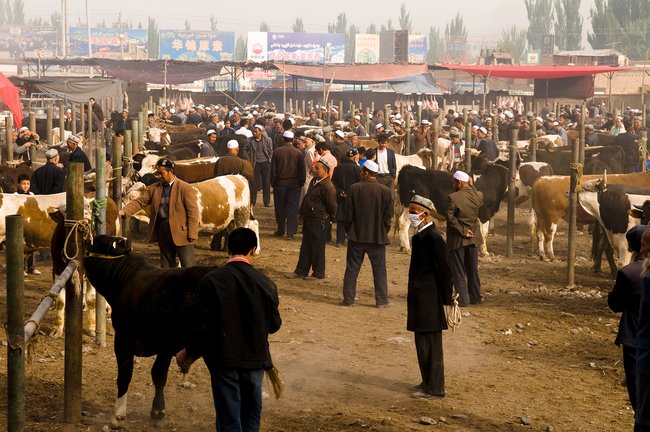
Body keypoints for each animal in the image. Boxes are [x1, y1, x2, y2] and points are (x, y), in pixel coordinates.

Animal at [81, 236, 215, 428]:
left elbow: (125, 374)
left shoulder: (124, 339)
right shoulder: (166, 345)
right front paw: (158, 411)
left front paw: (118, 415)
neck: (126, 278)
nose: (84, 247)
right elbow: (158, 375)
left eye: (98, 243)